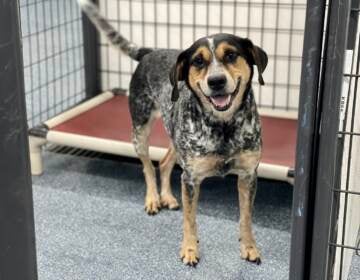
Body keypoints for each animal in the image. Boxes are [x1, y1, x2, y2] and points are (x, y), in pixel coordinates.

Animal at [78, 0, 268, 266]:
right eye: (198, 61)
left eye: (231, 55)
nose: (216, 81)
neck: (224, 126)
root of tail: (149, 52)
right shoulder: (190, 178)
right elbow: (190, 219)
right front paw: (189, 249)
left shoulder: (248, 175)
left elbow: (246, 218)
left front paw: (249, 247)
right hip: (140, 129)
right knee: (148, 166)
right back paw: (153, 199)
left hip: (177, 139)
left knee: (165, 162)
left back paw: (166, 197)